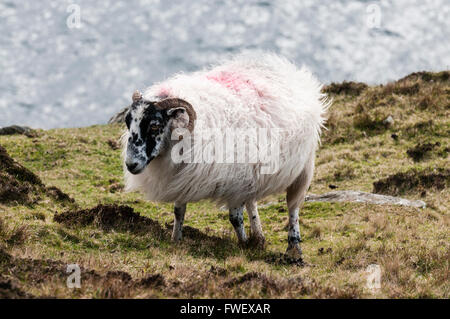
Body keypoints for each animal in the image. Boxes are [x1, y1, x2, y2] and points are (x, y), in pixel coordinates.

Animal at [121, 52, 328, 262]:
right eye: (128, 122)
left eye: (155, 125)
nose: (131, 164)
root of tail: (286, 68)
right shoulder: (183, 177)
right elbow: (179, 211)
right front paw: (175, 240)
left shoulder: (233, 181)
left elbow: (235, 218)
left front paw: (244, 245)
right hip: (251, 172)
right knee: (253, 202)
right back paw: (259, 237)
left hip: (303, 166)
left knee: (293, 206)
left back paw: (293, 247)